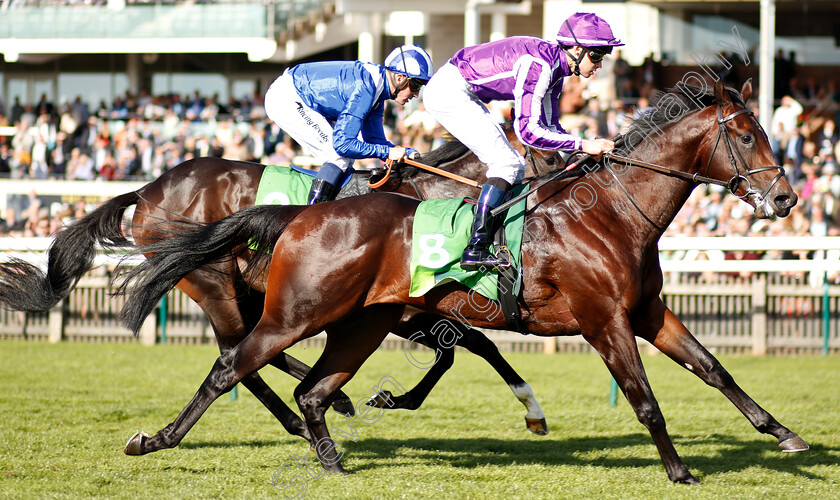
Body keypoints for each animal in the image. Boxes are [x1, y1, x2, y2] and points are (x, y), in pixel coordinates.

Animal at [0, 128, 556, 442]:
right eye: (551, 156)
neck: (425, 199)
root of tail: (147, 188)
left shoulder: (407, 306)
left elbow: (464, 348)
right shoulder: (403, 307)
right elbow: (469, 345)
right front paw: (530, 407)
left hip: (241, 288)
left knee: (243, 349)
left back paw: (315, 405)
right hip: (212, 280)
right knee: (237, 352)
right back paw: (312, 408)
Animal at [118, 79, 808, 484]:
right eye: (745, 134)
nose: (786, 199)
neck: (611, 213)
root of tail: (300, 214)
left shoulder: (646, 312)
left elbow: (714, 368)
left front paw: (785, 434)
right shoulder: (602, 320)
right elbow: (644, 398)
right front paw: (678, 471)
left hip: (358, 322)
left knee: (306, 387)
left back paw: (332, 455)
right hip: (280, 309)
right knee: (231, 365)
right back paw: (155, 440)